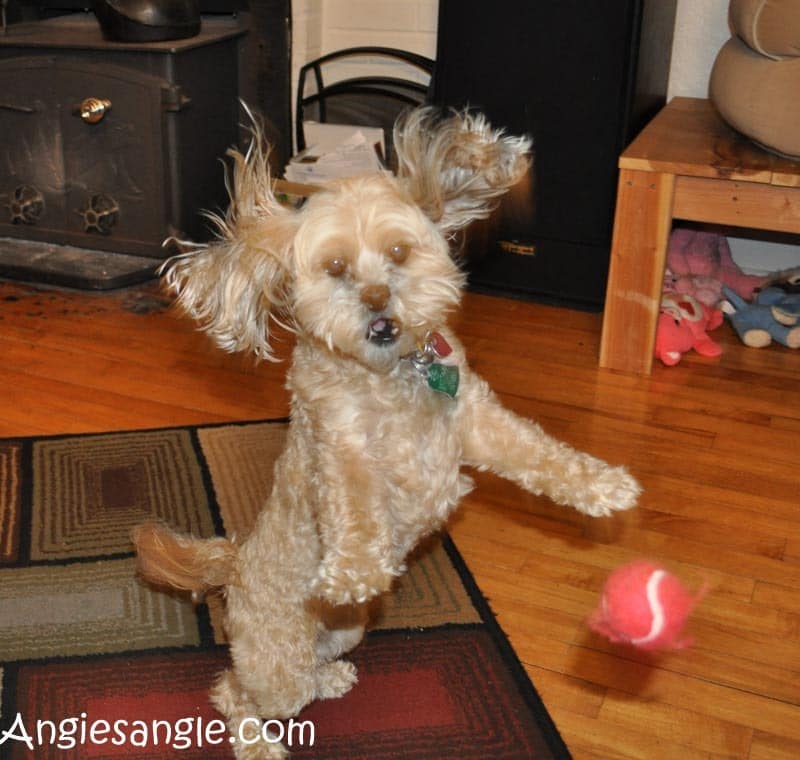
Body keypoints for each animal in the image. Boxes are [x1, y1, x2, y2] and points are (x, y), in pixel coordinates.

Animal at [133, 108, 644, 760]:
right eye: (334, 268)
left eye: (398, 252)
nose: (379, 308)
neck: (395, 379)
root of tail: (234, 563)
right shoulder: (340, 442)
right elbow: (355, 505)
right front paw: (354, 569)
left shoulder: (475, 421)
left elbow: (538, 452)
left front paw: (602, 486)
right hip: (276, 662)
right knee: (233, 691)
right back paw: (260, 743)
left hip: (344, 631)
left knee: (296, 669)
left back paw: (331, 678)